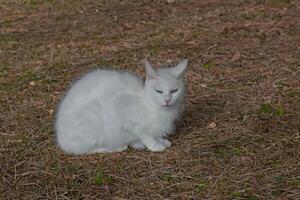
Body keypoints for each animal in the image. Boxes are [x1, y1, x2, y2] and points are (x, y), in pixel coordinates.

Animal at [54, 58, 188, 154]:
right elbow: (144, 134)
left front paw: (161, 141)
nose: (167, 100)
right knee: (85, 150)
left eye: (174, 91)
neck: (150, 105)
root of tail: (60, 139)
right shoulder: (124, 112)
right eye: (158, 91)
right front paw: (155, 145)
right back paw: (114, 148)